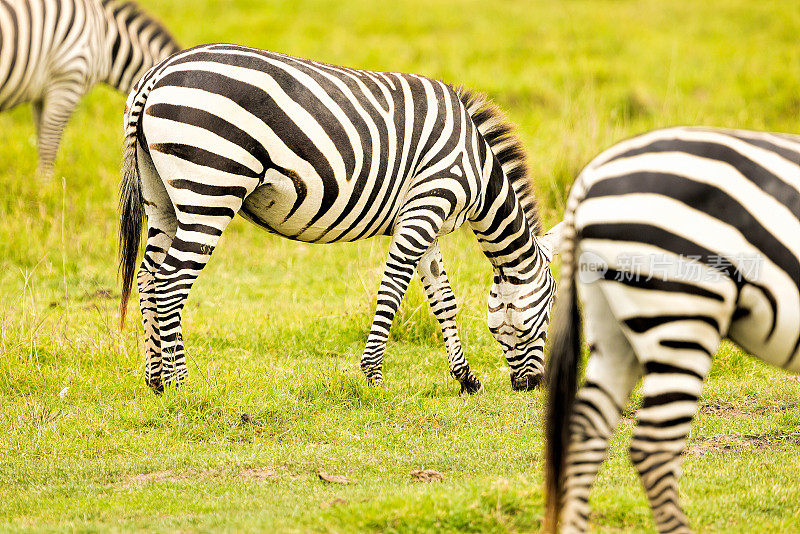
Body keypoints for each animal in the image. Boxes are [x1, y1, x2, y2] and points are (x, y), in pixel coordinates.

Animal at [0, 1, 178, 179]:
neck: (105, 41)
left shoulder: (43, 94)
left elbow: (41, 137)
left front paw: (39, 184)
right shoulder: (67, 82)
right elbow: (49, 144)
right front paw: (45, 184)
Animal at [115, 44, 564, 396]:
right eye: (551, 308)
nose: (533, 386)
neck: (478, 168)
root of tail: (156, 75)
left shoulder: (426, 218)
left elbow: (443, 301)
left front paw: (465, 378)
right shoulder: (428, 203)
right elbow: (393, 289)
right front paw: (373, 377)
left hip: (161, 197)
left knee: (148, 277)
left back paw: (155, 381)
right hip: (210, 187)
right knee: (171, 282)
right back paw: (181, 383)